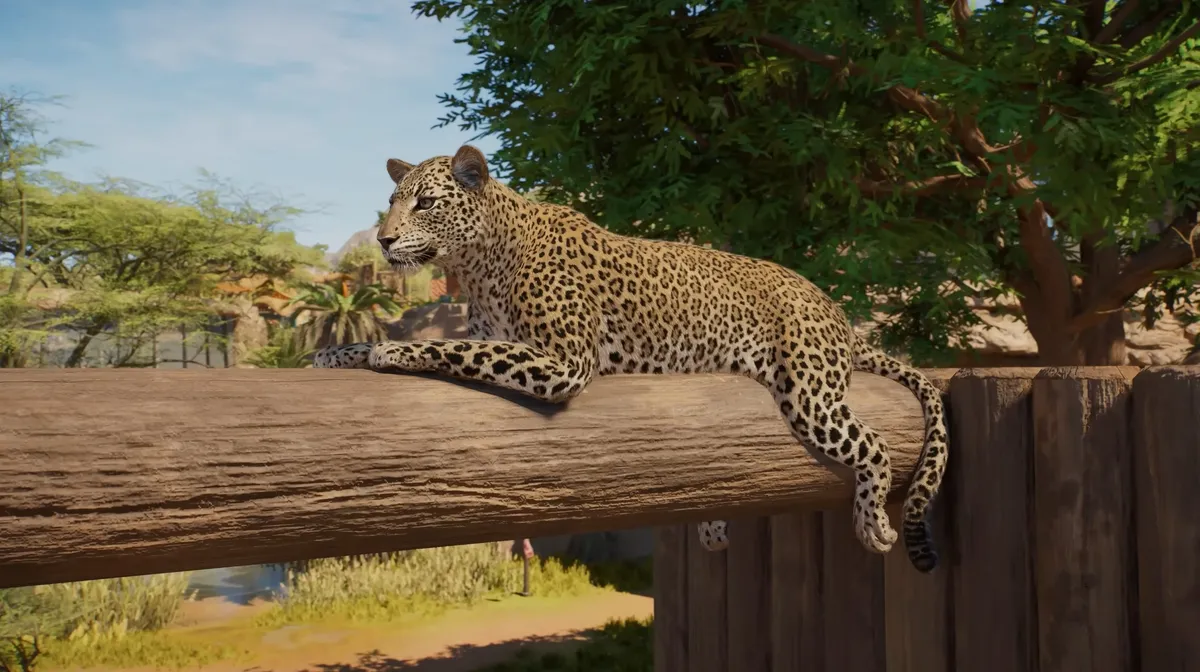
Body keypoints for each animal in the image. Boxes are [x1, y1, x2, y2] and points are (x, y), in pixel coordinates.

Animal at [314, 145, 950, 572]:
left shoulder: (564, 360)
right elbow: (458, 345)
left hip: (810, 394)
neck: (479, 266)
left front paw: (393, 348)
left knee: (874, 445)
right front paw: (335, 353)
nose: (384, 241)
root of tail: (833, 307)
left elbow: (460, 350)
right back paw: (712, 525)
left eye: (425, 203)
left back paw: (873, 523)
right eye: (391, 203)